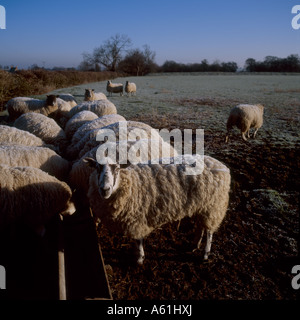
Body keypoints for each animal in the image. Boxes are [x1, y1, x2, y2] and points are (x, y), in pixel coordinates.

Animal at [84, 154, 232, 264]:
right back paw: (194, 245)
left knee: (209, 231)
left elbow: (138, 240)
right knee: (200, 226)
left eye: (117, 169)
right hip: (201, 206)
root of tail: (223, 167)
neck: (132, 183)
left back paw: (205, 254)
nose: (105, 189)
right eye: (97, 168)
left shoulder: (137, 219)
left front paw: (139, 258)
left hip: (213, 207)